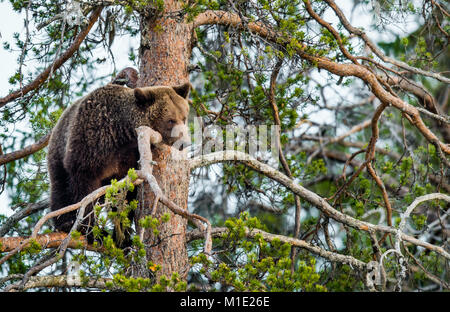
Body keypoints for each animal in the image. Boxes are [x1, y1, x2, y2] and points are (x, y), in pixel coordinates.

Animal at [48, 81, 192, 247]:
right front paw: (91, 230)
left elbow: (125, 195)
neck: (122, 134)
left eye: (184, 118)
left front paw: (123, 237)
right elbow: (84, 189)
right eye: (170, 120)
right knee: (61, 187)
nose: (185, 142)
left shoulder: (129, 159)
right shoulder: (92, 143)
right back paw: (65, 222)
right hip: (59, 153)